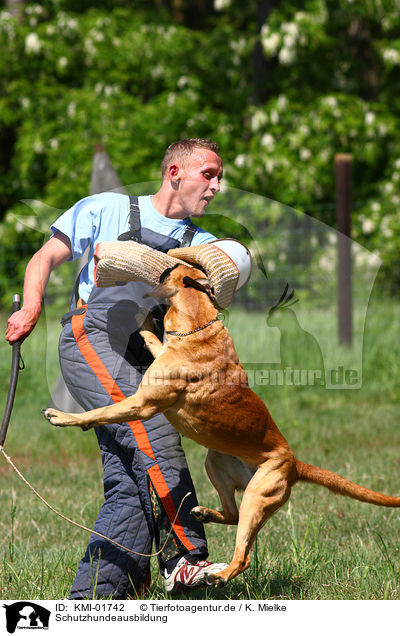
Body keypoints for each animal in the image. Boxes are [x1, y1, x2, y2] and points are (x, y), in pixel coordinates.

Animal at [42, 262, 398, 588]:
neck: (198, 326)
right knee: (232, 514)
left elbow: (101, 411)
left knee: (244, 551)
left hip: (258, 495)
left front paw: (64, 417)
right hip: (216, 463)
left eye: (168, 270)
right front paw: (141, 322)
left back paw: (222, 575)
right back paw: (205, 515)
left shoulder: (142, 405)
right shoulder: (162, 354)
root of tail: (294, 463)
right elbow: (150, 338)